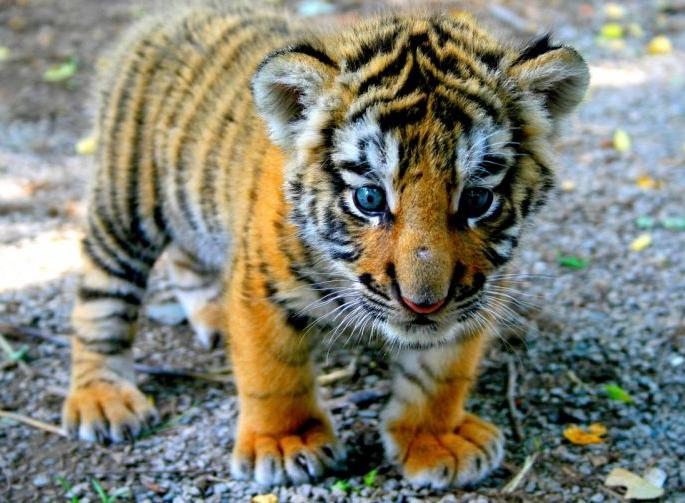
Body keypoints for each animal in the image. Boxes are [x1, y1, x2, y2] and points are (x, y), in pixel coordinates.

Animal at [62, 3, 589, 489]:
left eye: (478, 199)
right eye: (369, 198)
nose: (423, 304)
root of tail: (168, 15)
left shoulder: (476, 293)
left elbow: (440, 372)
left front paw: (435, 439)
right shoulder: (263, 286)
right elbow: (273, 372)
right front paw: (284, 443)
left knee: (186, 260)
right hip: (125, 204)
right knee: (100, 299)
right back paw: (102, 398)